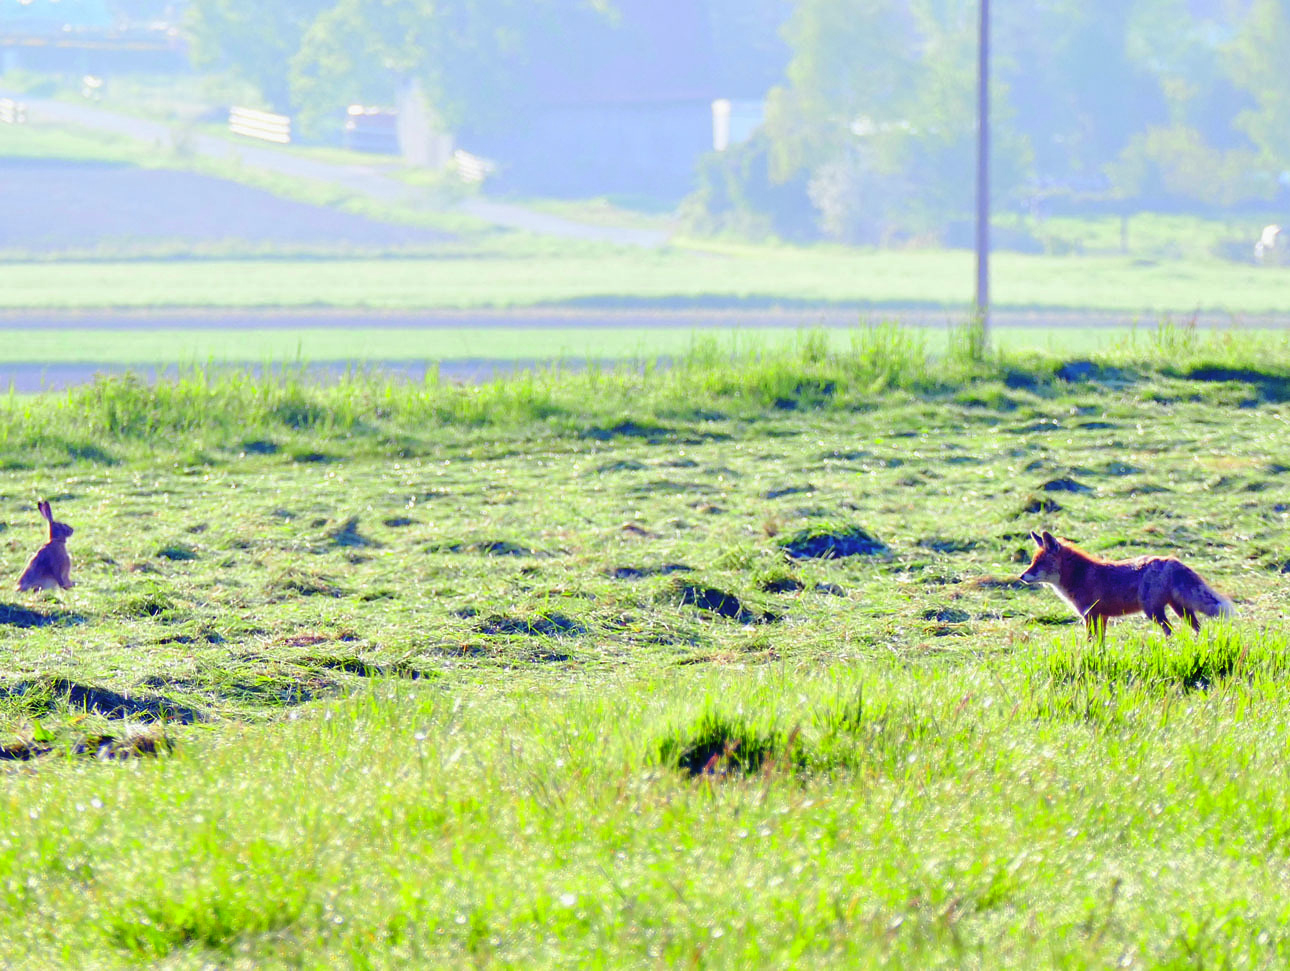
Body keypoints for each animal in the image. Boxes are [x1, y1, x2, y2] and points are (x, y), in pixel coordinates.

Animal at [1021, 531, 1233, 637]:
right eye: (1032, 561)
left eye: (1039, 563)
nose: (1021, 576)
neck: (1079, 576)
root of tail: (1172, 560)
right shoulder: (1102, 617)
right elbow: (1100, 643)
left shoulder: (1090, 615)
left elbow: (1090, 641)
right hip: (1180, 609)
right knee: (1197, 628)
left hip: (1153, 611)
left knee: (1170, 630)